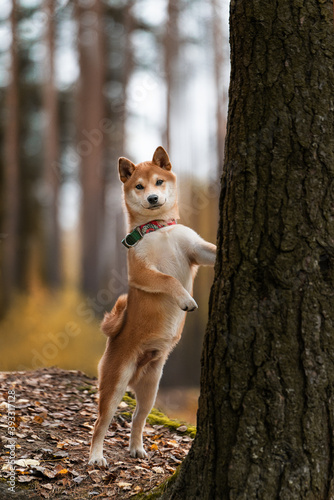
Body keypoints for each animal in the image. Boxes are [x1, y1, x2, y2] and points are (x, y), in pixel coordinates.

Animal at [88, 146, 217, 464]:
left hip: (151, 390)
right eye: (139, 186)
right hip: (115, 385)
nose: (153, 199)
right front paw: (186, 299)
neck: (158, 229)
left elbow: (211, 250)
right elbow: (169, 279)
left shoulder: (197, 251)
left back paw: (136, 448)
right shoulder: (142, 272)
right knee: (100, 423)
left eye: (158, 182)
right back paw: (96, 457)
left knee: (138, 418)